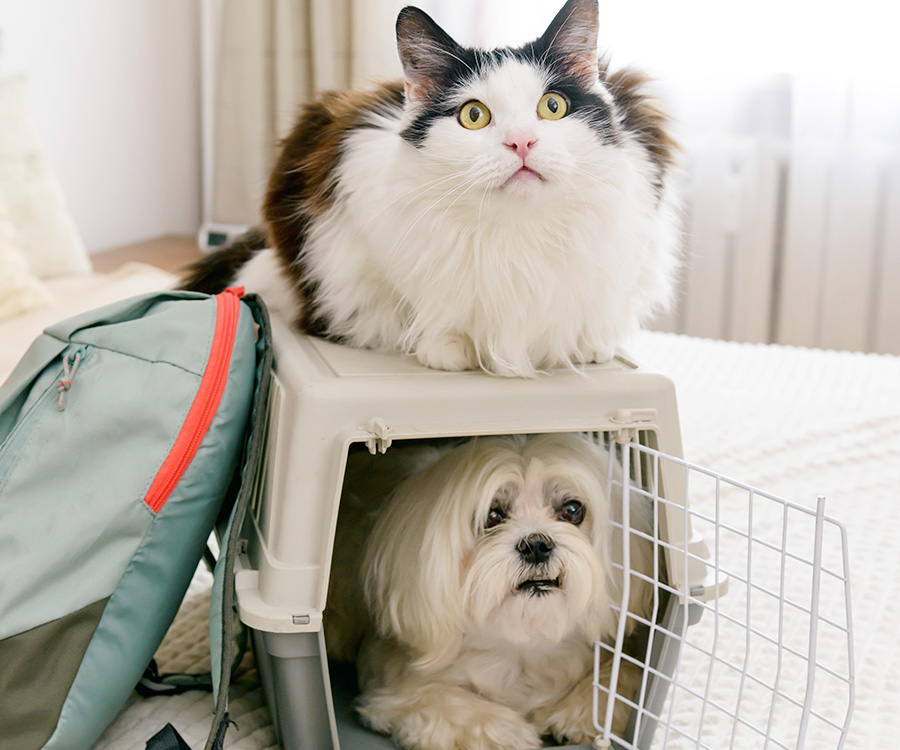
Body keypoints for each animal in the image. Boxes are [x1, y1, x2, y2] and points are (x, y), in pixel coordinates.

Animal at [181, 0, 676, 376]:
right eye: (474, 115)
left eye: (552, 107)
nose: (521, 142)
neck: (517, 228)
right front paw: (446, 347)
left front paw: (588, 343)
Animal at [324, 434, 652, 750]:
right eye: (492, 516)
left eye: (572, 510)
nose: (537, 544)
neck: (521, 643)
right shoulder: (395, 688)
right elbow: (441, 699)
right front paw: (506, 730)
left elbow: (623, 674)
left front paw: (579, 711)